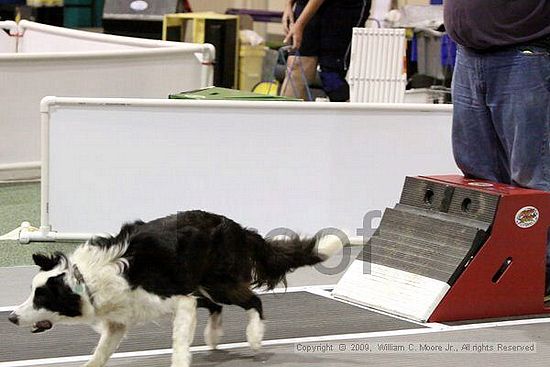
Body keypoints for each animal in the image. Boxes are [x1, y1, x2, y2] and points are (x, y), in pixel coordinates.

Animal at [8, 211, 342, 366]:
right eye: (32, 292)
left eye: (41, 297)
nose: (11, 317)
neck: (85, 280)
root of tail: (239, 228)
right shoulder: (119, 321)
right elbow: (100, 354)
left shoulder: (178, 300)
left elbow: (179, 344)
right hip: (197, 283)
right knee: (216, 307)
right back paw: (213, 335)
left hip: (215, 283)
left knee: (253, 301)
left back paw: (254, 337)